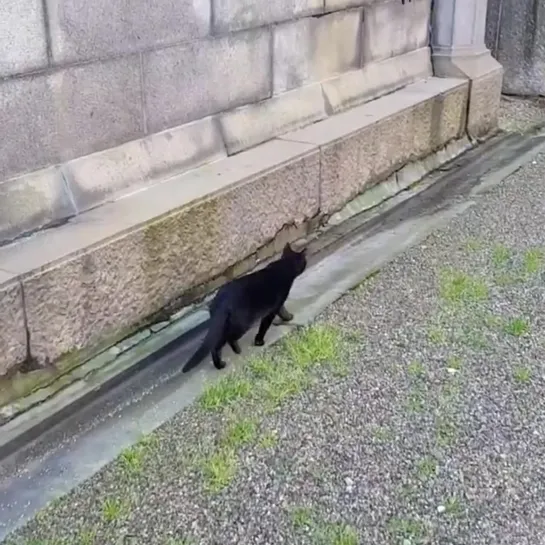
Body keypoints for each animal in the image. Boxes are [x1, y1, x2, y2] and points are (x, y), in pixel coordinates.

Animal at [182, 244, 306, 372]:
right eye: (304, 261)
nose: (305, 264)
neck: (283, 267)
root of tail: (221, 301)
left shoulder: (277, 305)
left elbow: (281, 311)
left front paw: (288, 317)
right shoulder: (274, 308)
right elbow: (265, 325)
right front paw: (259, 341)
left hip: (223, 324)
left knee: (216, 344)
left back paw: (220, 364)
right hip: (242, 323)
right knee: (228, 339)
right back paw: (236, 351)